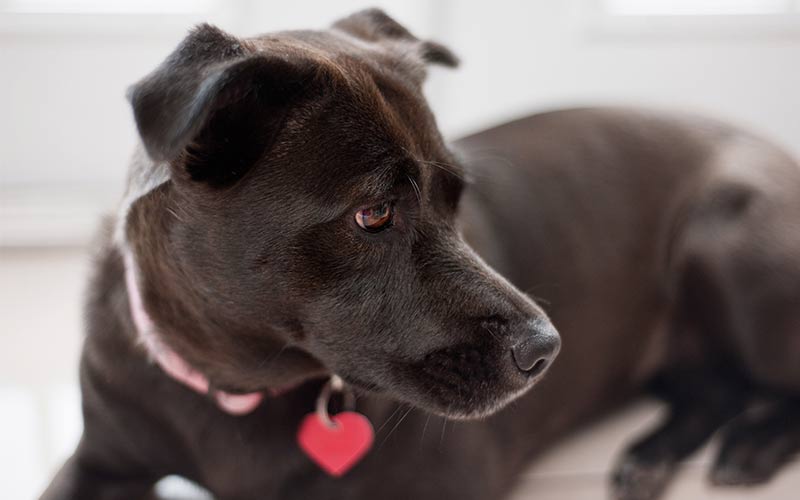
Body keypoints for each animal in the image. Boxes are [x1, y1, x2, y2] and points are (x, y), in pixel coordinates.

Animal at [40, 7, 800, 500]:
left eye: (456, 197)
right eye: (373, 213)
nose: (547, 351)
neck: (240, 387)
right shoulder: (98, 462)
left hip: (727, 252)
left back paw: (750, 445)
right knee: (715, 387)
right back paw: (652, 456)